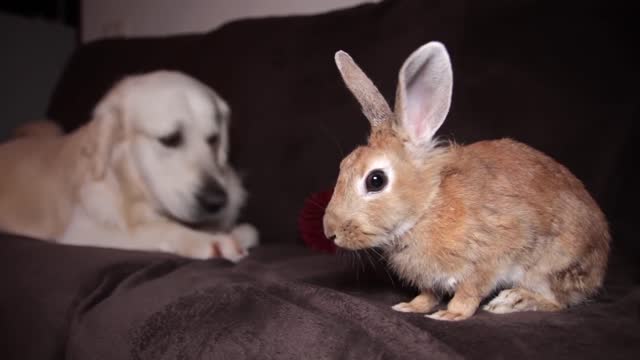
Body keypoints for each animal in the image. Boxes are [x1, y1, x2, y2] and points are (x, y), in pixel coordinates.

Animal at [1, 71, 260, 262]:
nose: (217, 201)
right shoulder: (81, 229)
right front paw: (206, 240)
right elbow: (157, 228)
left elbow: (249, 232)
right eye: (170, 139)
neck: (131, 187)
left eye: (213, 139)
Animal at [322, 42, 612, 320]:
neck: (428, 207)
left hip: (548, 268)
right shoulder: (431, 279)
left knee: (556, 302)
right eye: (343, 165)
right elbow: (428, 293)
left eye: (375, 180)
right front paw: (411, 306)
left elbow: (470, 291)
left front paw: (450, 314)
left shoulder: (489, 258)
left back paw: (511, 301)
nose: (330, 232)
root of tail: (599, 270)